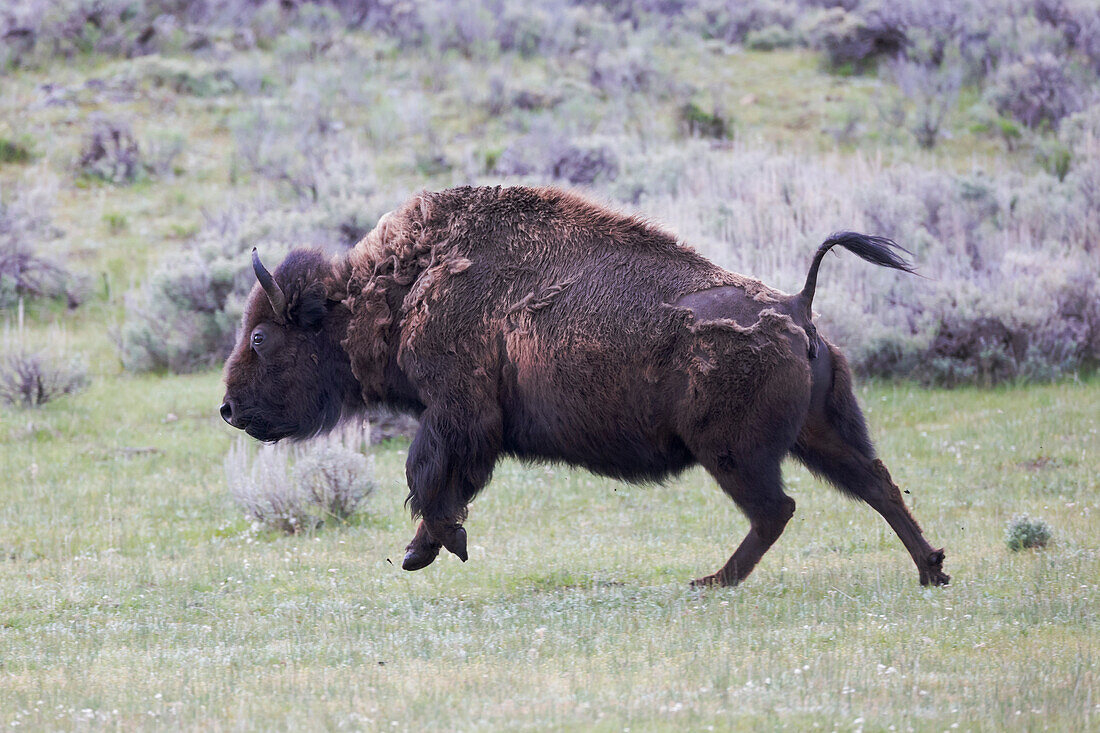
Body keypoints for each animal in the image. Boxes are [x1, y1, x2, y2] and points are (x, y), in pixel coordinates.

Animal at [218, 186, 950, 585]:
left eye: (261, 339)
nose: (227, 408)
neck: (399, 289)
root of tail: (797, 306)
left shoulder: (456, 413)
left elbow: (426, 476)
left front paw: (432, 548)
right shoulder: (463, 425)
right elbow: (442, 482)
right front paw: (428, 548)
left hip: (734, 452)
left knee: (777, 507)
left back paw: (710, 582)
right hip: (819, 433)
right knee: (876, 485)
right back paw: (932, 570)